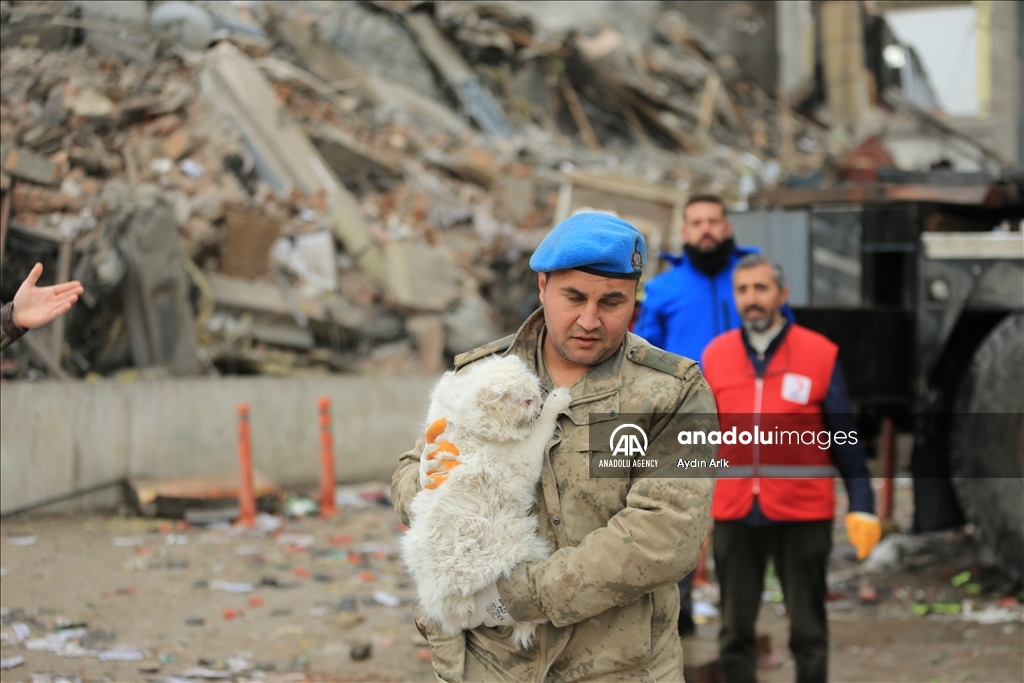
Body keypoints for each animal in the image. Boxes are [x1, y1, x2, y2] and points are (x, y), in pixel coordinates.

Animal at [401, 356, 577, 651]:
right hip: (521, 551)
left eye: (535, 392)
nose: (538, 404)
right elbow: (541, 430)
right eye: (527, 400)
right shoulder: (523, 461)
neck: (469, 426)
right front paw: (557, 400)